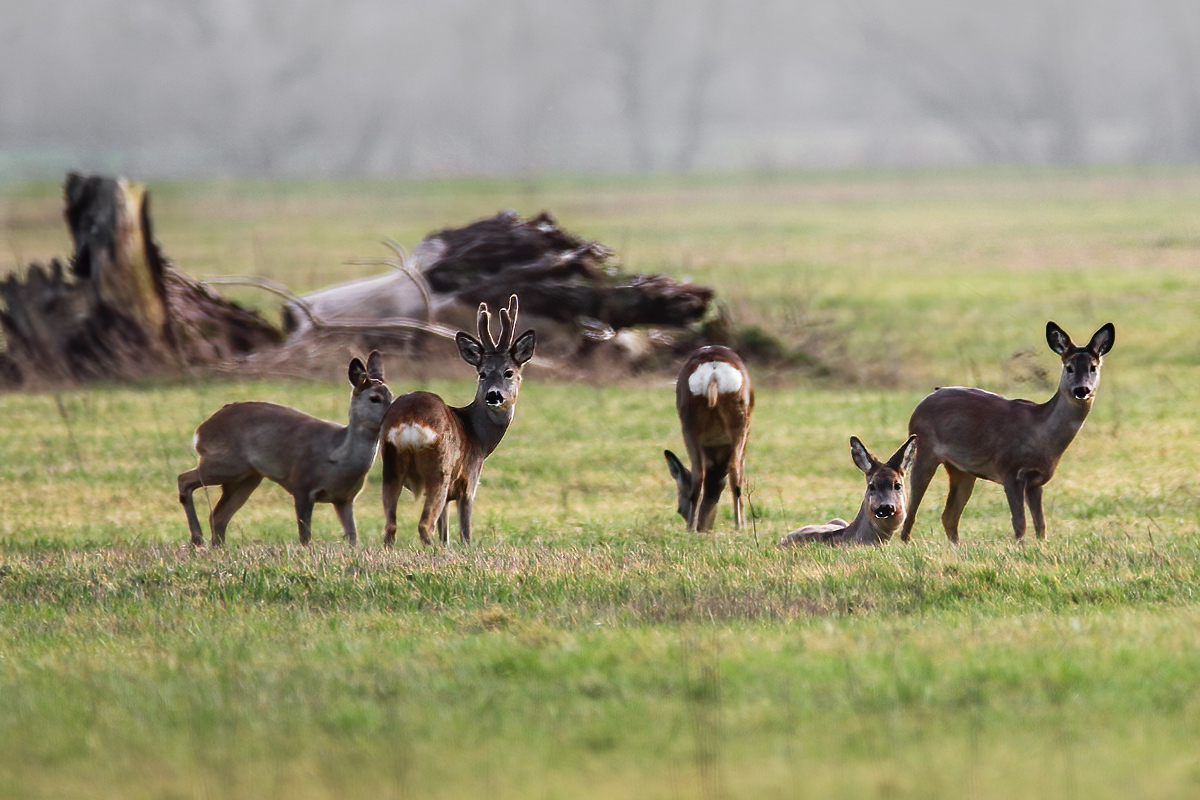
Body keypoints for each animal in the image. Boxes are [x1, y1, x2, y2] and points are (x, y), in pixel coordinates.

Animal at [176, 352, 388, 546]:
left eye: (390, 395)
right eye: (375, 398)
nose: (391, 413)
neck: (336, 458)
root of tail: (201, 430)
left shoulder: (345, 498)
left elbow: (353, 537)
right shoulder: (301, 485)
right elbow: (305, 536)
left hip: (247, 477)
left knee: (218, 515)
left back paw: (216, 547)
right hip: (226, 463)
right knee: (184, 479)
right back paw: (197, 539)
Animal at [381, 297, 537, 546]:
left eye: (509, 372)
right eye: (482, 373)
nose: (494, 395)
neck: (479, 437)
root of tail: (409, 422)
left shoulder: (449, 495)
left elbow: (445, 532)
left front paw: (446, 547)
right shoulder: (468, 482)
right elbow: (465, 533)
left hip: (390, 465)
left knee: (391, 526)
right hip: (439, 470)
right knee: (424, 524)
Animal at [662, 347, 753, 534]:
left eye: (679, 509)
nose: (704, 526)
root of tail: (713, 375)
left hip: (691, 423)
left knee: (704, 476)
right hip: (739, 423)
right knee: (732, 474)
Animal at [902, 321, 1113, 542]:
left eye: (1093, 367)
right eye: (1069, 367)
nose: (1082, 390)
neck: (1041, 434)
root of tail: (926, 399)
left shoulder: (1036, 480)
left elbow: (1041, 524)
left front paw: (1041, 545)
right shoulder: (1010, 469)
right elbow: (1019, 523)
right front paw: (1020, 546)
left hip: (962, 470)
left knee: (949, 516)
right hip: (924, 448)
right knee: (912, 509)